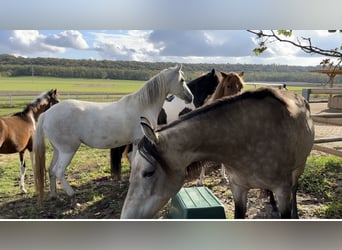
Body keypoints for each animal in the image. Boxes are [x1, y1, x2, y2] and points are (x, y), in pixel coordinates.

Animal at [34, 65, 194, 203]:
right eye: (182, 80)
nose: (190, 97)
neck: (142, 106)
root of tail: (47, 114)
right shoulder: (138, 140)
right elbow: (135, 159)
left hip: (57, 150)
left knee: (51, 170)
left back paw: (54, 195)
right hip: (68, 150)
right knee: (59, 171)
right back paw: (72, 194)